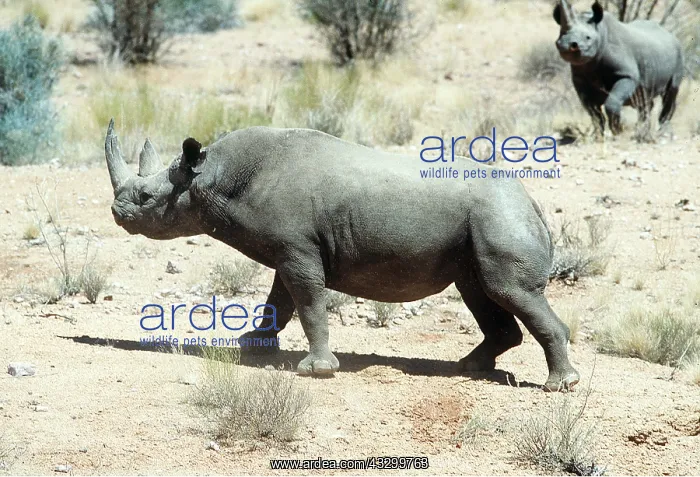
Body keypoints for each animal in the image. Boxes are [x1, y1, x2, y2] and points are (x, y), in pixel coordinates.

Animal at [104, 120, 580, 392]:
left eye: (146, 198)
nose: (117, 213)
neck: (213, 176)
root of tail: (531, 200)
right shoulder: (291, 248)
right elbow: (279, 302)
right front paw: (252, 346)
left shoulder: (297, 250)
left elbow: (308, 302)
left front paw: (316, 370)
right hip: (485, 222)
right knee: (480, 291)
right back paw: (468, 368)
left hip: (496, 214)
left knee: (508, 290)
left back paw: (559, 387)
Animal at [553, 0, 684, 136]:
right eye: (561, 35)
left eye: (588, 37)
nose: (568, 45)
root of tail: (669, 34)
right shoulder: (580, 80)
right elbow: (593, 112)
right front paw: (598, 136)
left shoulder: (627, 75)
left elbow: (612, 102)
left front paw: (618, 131)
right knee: (644, 99)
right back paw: (642, 131)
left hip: (678, 53)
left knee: (671, 92)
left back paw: (662, 133)